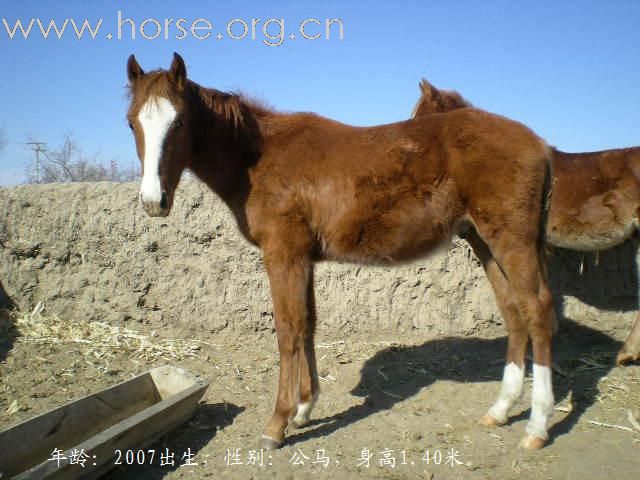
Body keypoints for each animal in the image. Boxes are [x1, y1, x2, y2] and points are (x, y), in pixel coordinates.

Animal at [125, 55, 556, 450]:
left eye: (179, 122)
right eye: (132, 122)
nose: (153, 201)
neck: (259, 157)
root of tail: (541, 144)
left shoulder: (283, 255)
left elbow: (288, 329)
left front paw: (277, 423)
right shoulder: (304, 259)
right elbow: (308, 324)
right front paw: (304, 408)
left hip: (510, 240)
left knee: (536, 310)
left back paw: (536, 426)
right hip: (484, 242)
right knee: (513, 310)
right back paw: (500, 410)